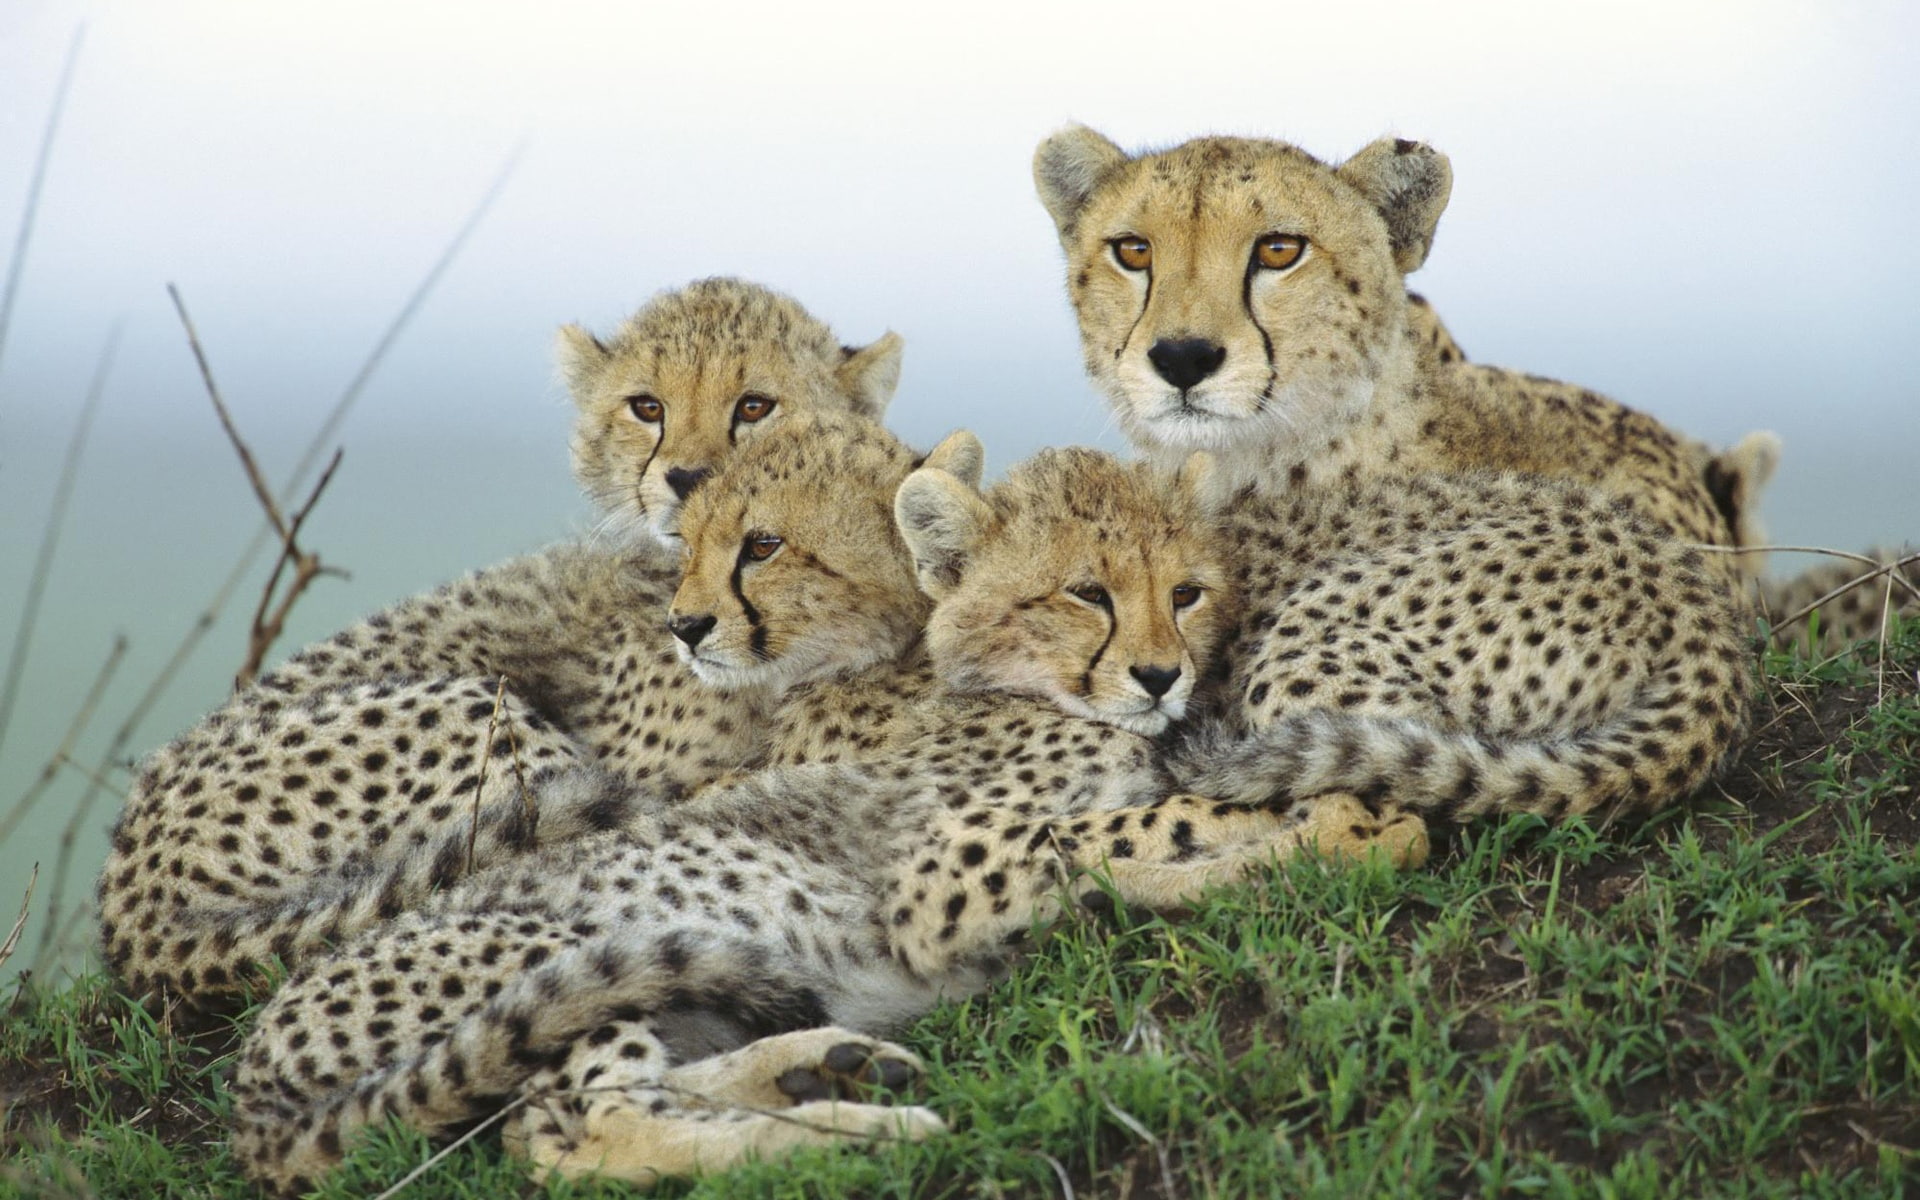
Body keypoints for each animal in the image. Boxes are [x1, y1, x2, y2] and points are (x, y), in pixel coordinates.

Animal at [230, 423, 1427, 1195]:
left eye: (1186, 591)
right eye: (1087, 593)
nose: (1162, 676)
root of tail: (253, 1067)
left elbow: (1140, 840)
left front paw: (1332, 829)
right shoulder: (941, 884)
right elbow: (1139, 826)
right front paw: (1342, 826)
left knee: (594, 1115)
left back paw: (826, 1068)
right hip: (559, 955)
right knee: (596, 1136)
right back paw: (864, 1135)